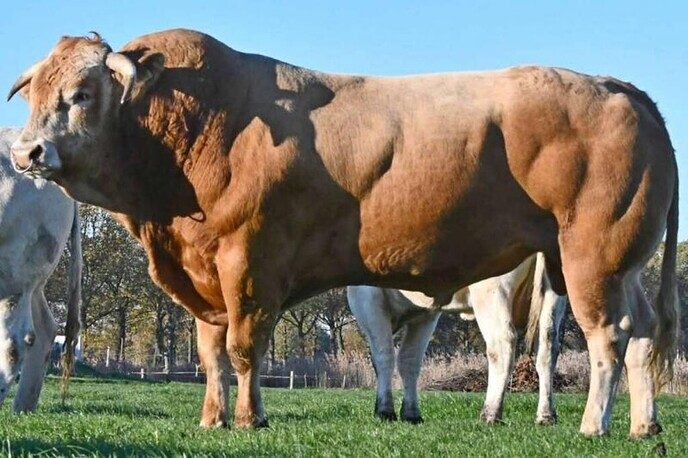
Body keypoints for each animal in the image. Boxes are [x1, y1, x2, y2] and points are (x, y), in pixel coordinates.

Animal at [348, 253, 567, 425]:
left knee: (502, 346)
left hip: (492, 291)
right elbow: (409, 361)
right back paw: (546, 416)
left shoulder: (366, 295)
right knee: (548, 347)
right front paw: (411, 414)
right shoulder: (426, 313)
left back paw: (490, 413)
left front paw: (384, 411)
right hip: (554, 296)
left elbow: (383, 357)